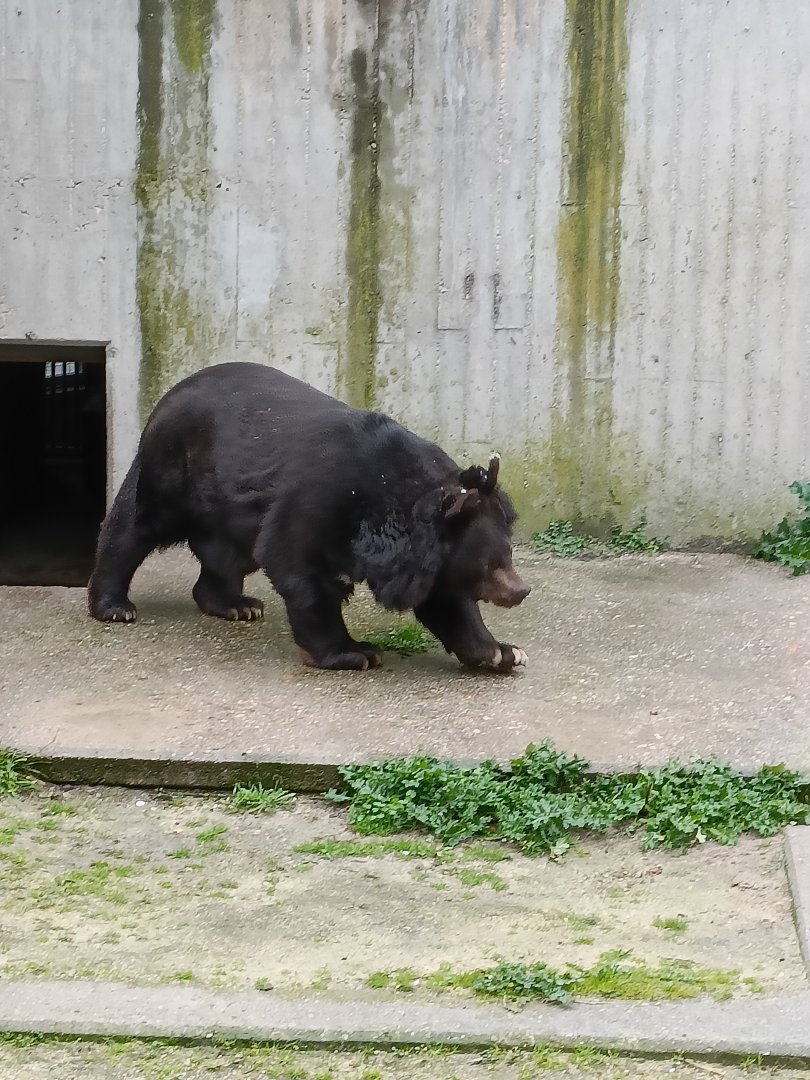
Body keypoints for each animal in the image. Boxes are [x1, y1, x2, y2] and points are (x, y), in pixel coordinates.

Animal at [88, 363, 531, 672]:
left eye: (508, 556)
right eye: (491, 563)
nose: (521, 590)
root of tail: (168, 395)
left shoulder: (431, 557)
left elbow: (447, 602)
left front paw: (504, 652)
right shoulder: (317, 498)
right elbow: (298, 565)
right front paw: (355, 653)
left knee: (227, 555)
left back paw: (236, 605)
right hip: (173, 470)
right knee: (135, 527)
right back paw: (115, 606)